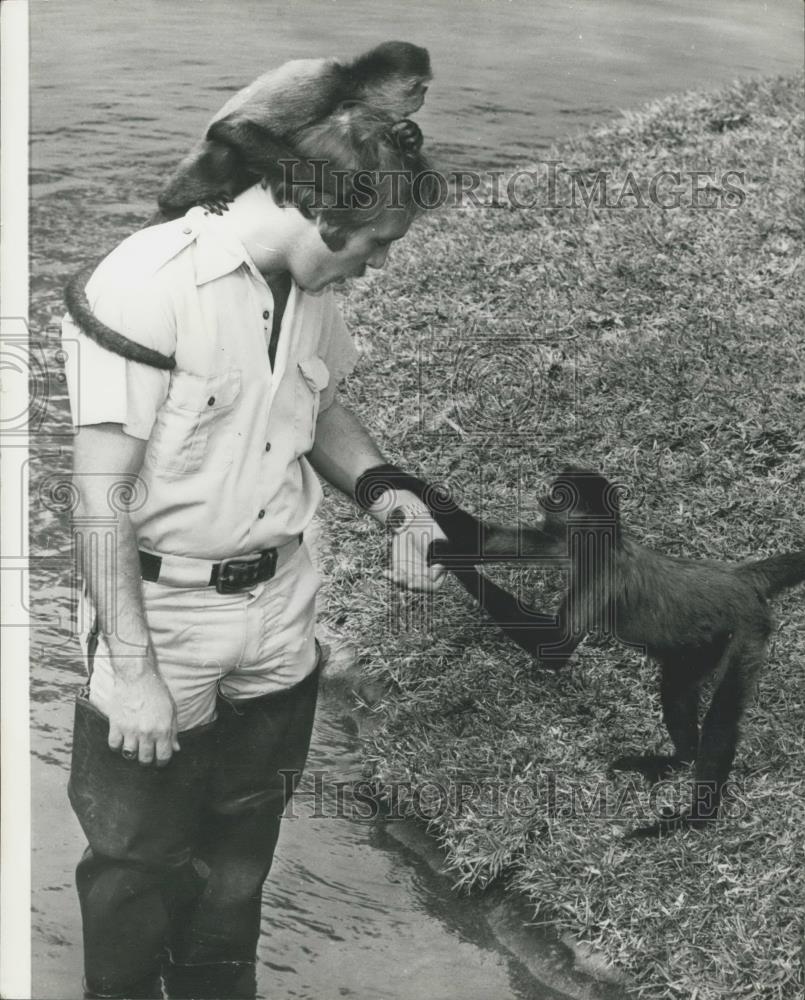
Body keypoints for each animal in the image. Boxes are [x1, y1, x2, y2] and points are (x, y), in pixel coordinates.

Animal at [362, 466, 804, 836]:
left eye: (558, 495)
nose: (542, 496)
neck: (602, 542)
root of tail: (739, 579)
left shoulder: (598, 572)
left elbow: (555, 648)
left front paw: (451, 558)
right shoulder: (565, 542)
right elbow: (482, 539)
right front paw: (388, 476)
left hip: (747, 629)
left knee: (721, 718)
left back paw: (695, 818)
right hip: (702, 644)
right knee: (677, 685)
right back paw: (680, 759)